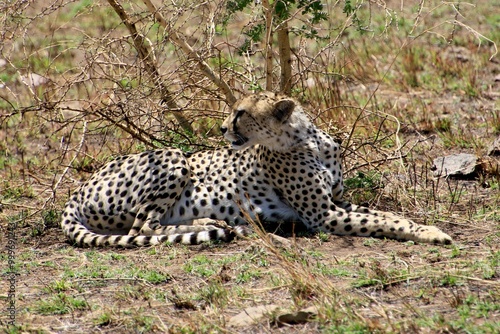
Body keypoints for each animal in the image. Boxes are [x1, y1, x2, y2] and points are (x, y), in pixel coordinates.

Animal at [59, 90, 454, 247]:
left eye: (241, 113)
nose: (221, 129)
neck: (307, 139)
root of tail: (78, 189)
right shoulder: (323, 214)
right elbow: (381, 222)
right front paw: (432, 234)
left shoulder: (336, 202)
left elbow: (388, 216)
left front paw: (426, 228)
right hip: (173, 155)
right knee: (143, 227)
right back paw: (223, 227)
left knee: (152, 226)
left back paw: (216, 223)